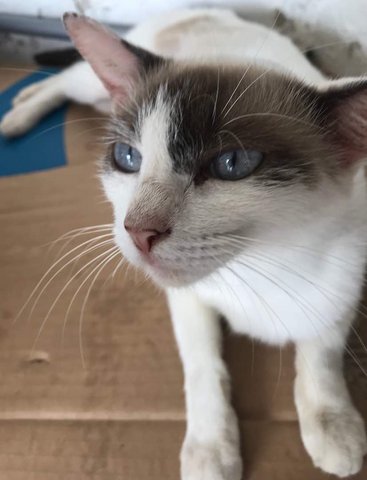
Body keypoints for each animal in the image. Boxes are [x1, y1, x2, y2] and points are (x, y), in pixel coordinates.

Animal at [0, 8, 367, 480]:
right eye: (127, 158)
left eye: (232, 163)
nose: (138, 231)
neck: (263, 262)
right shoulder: (188, 299)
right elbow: (202, 365)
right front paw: (210, 449)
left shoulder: (343, 286)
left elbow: (321, 353)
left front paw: (331, 424)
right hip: (98, 78)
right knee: (67, 77)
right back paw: (19, 111)